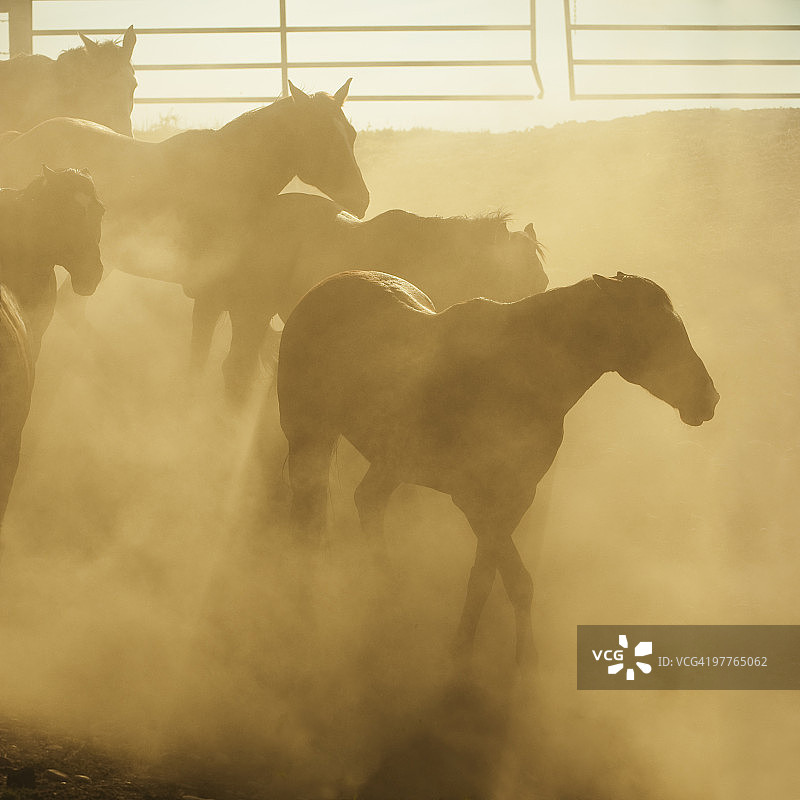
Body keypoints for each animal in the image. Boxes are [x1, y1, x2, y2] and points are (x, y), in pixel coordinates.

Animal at [277, 270, 720, 663]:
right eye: (659, 330)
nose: (709, 398)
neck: (520, 373)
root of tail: (321, 288)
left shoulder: (517, 497)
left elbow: (508, 580)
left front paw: (522, 657)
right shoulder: (474, 499)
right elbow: (492, 577)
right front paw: (464, 651)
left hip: (391, 460)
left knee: (367, 501)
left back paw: (389, 593)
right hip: (309, 440)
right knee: (305, 524)